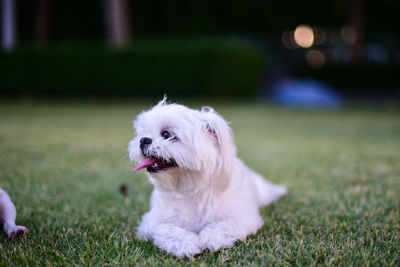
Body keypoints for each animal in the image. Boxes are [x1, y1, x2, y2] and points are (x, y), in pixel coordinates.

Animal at [126, 99, 286, 260]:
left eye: (166, 134)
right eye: (142, 133)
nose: (143, 140)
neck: (193, 189)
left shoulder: (245, 218)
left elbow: (226, 225)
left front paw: (210, 237)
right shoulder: (150, 222)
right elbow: (165, 229)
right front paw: (186, 243)